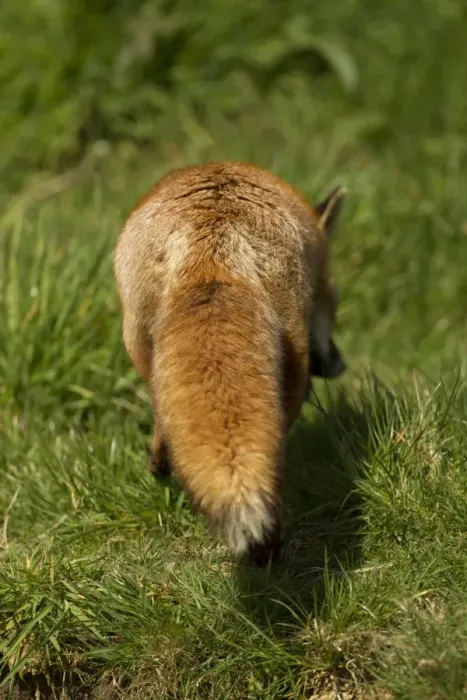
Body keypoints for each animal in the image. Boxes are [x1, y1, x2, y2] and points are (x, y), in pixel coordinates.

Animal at [113, 161, 347, 566]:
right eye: (333, 308)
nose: (339, 363)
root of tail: (217, 235)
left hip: (141, 344)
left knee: (163, 413)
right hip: (290, 368)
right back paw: (268, 552)